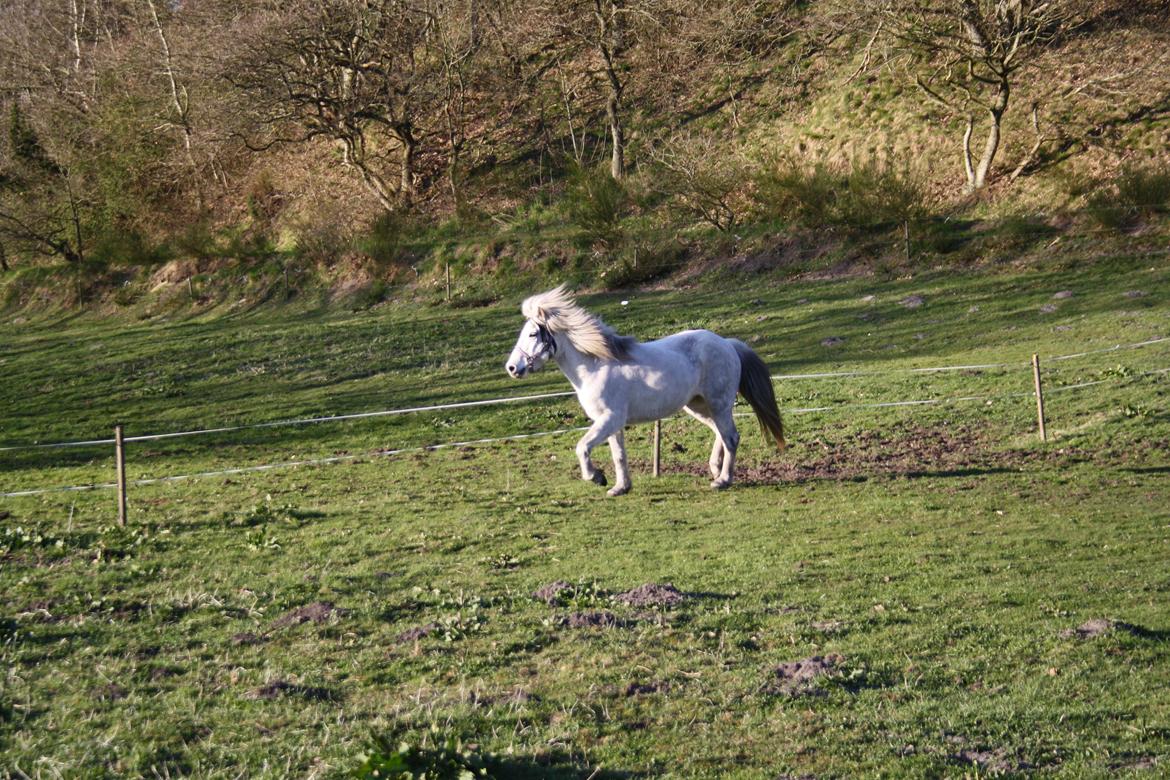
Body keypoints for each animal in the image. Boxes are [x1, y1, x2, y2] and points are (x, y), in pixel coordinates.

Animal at [505, 285, 786, 493]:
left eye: (532, 334)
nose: (512, 367)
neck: (595, 366)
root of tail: (728, 343)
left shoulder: (609, 419)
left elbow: (582, 447)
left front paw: (596, 477)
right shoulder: (611, 423)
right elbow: (619, 455)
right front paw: (620, 487)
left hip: (718, 403)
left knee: (731, 437)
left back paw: (723, 480)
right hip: (697, 405)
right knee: (721, 433)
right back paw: (715, 469)